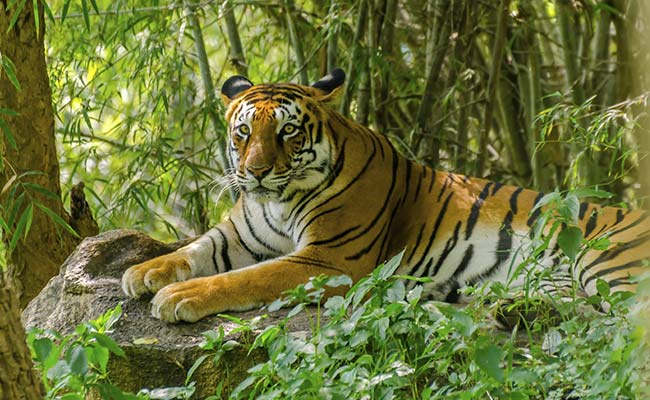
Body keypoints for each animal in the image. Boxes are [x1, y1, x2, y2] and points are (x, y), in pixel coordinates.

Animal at [122, 68, 650, 323]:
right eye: (243, 132)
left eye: (288, 131)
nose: (255, 172)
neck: (278, 199)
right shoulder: (237, 235)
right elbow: (193, 250)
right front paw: (141, 272)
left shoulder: (328, 259)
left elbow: (246, 278)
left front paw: (177, 296)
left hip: (606, 261)